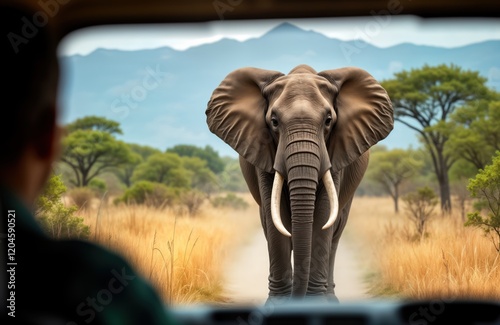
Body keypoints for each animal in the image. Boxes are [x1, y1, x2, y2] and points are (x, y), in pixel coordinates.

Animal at [205, 64, 392, 300]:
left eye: (328, 121)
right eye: (274, 122)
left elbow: (323, 214)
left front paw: (314, 301)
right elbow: (276, 218)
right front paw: (279, 302)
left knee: (335, 233)